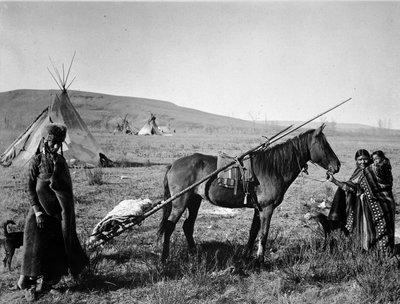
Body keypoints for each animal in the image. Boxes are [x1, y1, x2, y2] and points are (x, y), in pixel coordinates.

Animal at [158, 124, 340, 262]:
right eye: (324, 145)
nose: (337, 166)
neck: (273, 169)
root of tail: (173, 164)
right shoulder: (267, 208)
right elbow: (263, 234)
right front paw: (260, 259)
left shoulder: (258, 209)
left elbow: (253, 232)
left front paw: (246, 255)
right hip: (180, 203)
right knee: (170, 226)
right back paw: (165, 258)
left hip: (194, 201)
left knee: (187, 226)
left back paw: (194, 253)